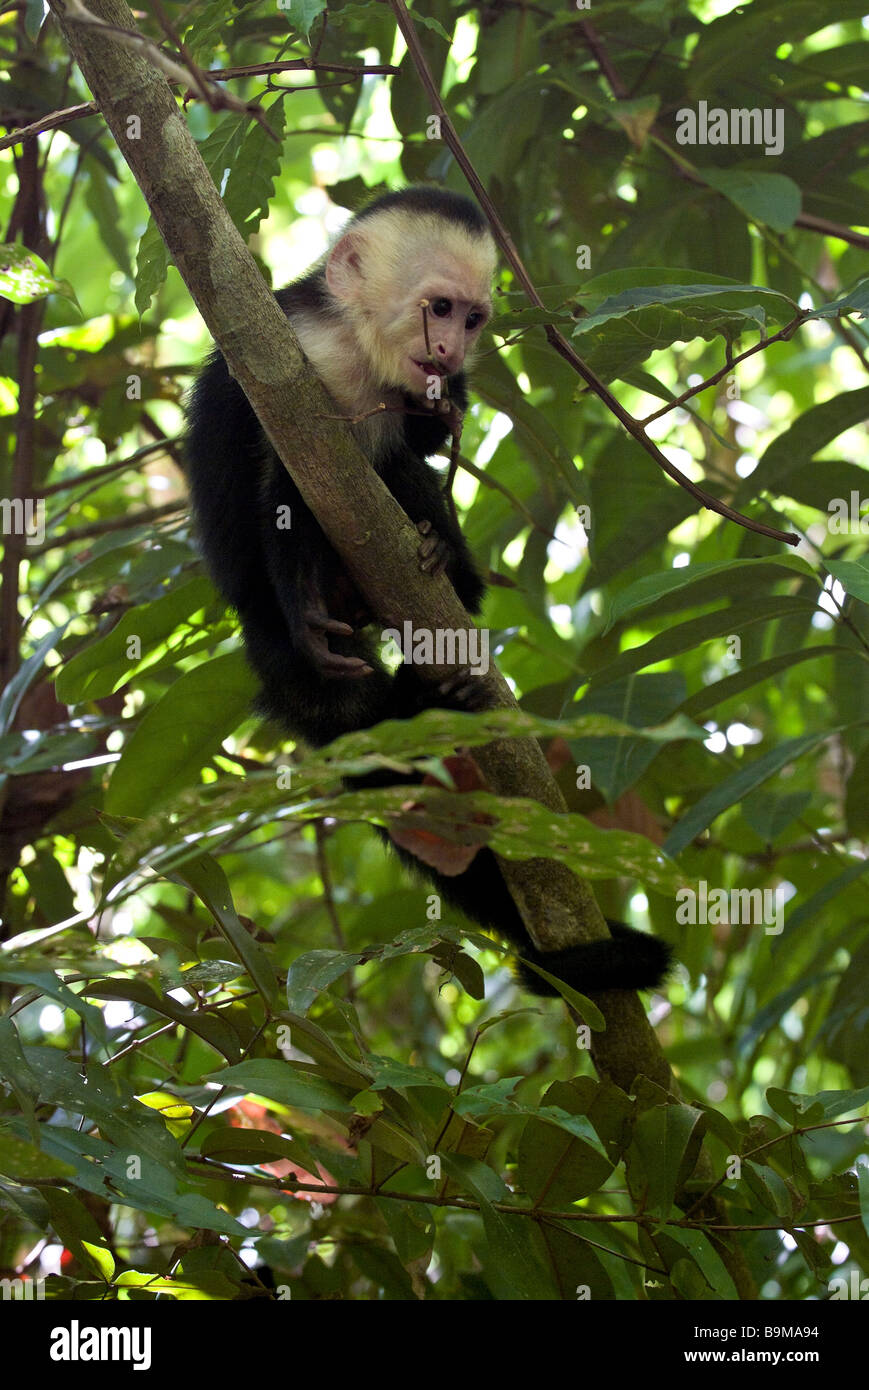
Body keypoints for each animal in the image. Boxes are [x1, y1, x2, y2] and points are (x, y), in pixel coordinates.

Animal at [184, 184, 670, 1000]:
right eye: (437, 308)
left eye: (472, 319)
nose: (449, 350)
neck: (359, 349)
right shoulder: (302, 358)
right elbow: (288, 482)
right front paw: (305, 585)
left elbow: (420, 438)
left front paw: (448, 409)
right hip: (287, 649)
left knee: (399, 478)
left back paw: (445, 573)